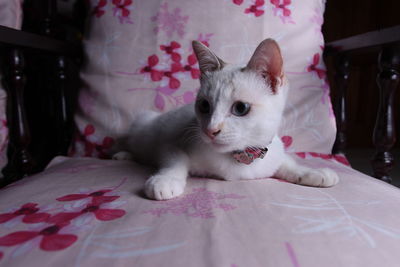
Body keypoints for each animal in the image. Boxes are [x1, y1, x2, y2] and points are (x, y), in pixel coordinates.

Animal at [114, 38, 340, 200]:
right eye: (204, 106)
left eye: (240, 108)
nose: (210, 130)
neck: (243, 157)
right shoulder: (171, 143)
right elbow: (175, 161)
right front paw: (165, 181)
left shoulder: (273, 152)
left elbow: (289, 164)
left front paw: (314, 173)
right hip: (143, 123)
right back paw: (122, 155)